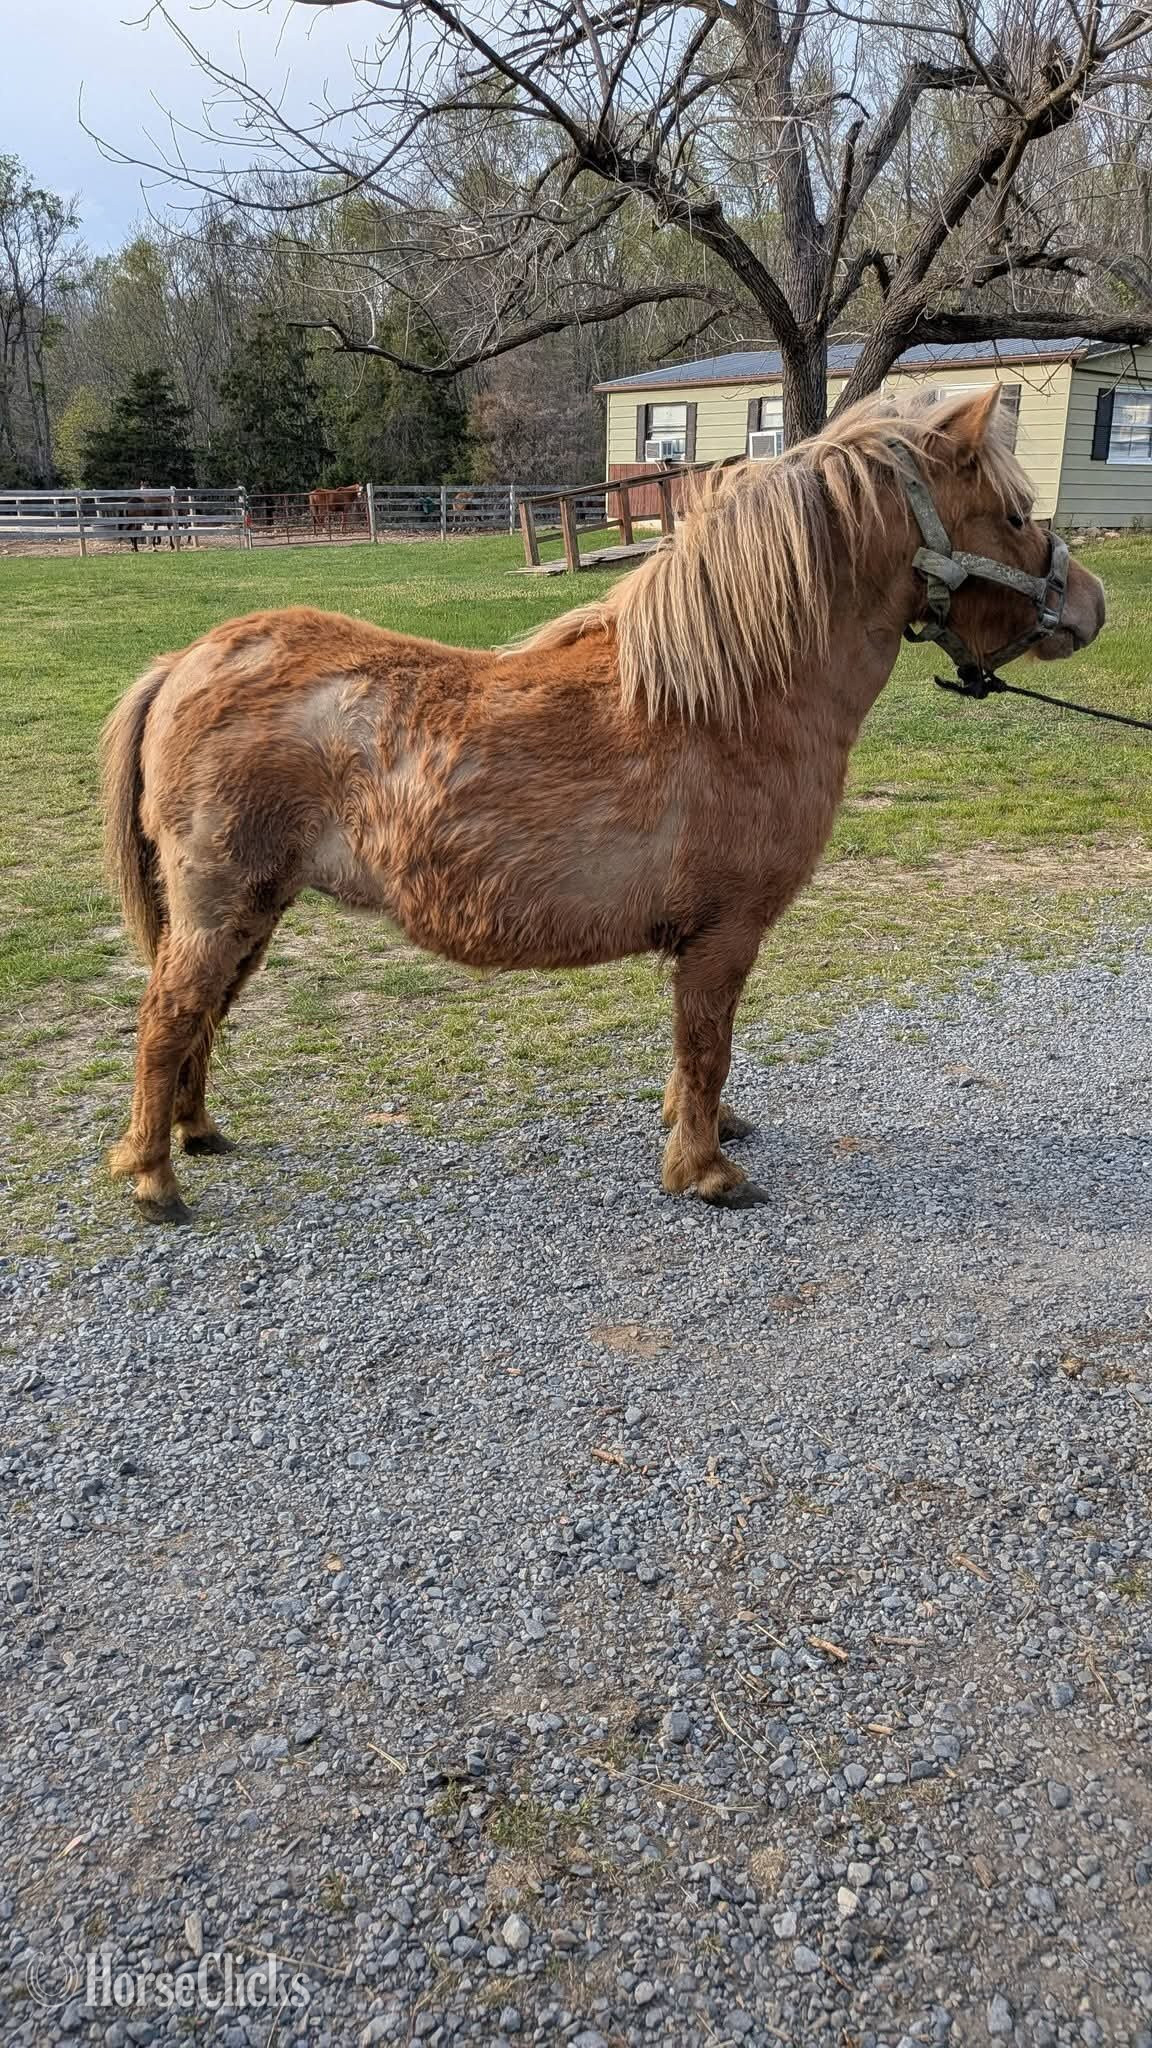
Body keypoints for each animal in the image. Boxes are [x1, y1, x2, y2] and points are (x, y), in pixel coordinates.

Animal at [100, 387, 1105, 1223]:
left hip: (255, 910)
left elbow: (695, 1054)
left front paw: (704, 1130)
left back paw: (196, 1135)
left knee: (200, 1019)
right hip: (221, 906)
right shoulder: (725, 934)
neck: (732, 697)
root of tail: (186, 662)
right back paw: (154, 1179)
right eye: (1015, 515)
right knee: (167, 1019)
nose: (1093, 608)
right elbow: (708, 1044)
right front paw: (704, 1172)